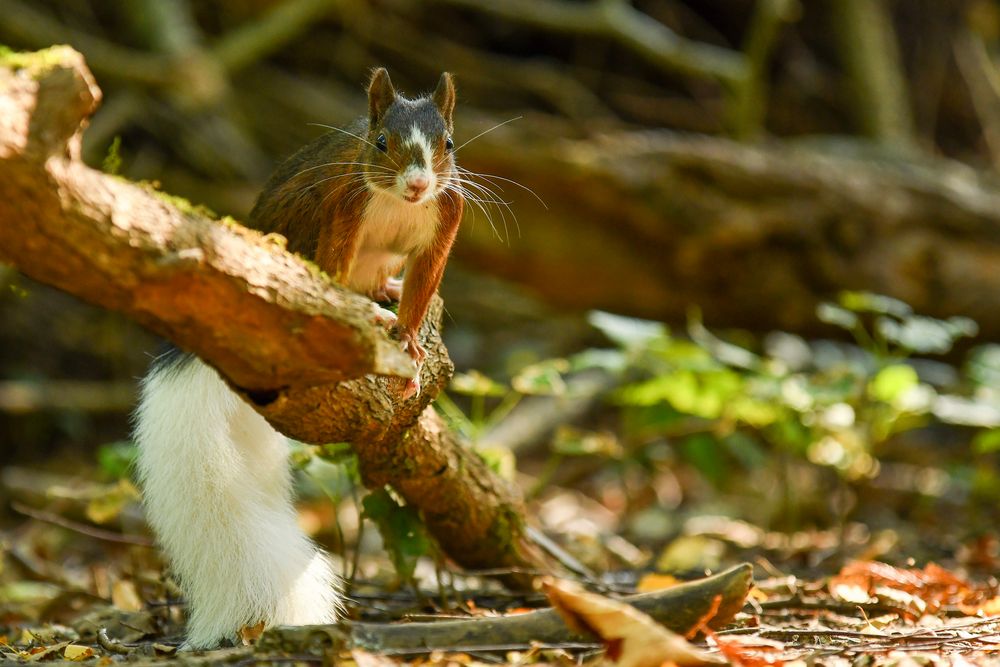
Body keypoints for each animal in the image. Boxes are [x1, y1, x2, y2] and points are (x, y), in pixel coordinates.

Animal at [246, 66, 464, 370]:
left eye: (449, 144)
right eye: (381, 142)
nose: (418, 184)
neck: (400, 202)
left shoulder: (446, 220)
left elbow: (423, 279)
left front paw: (408, 337)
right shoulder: (345, 207)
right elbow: (334, 262)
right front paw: (368, 315)